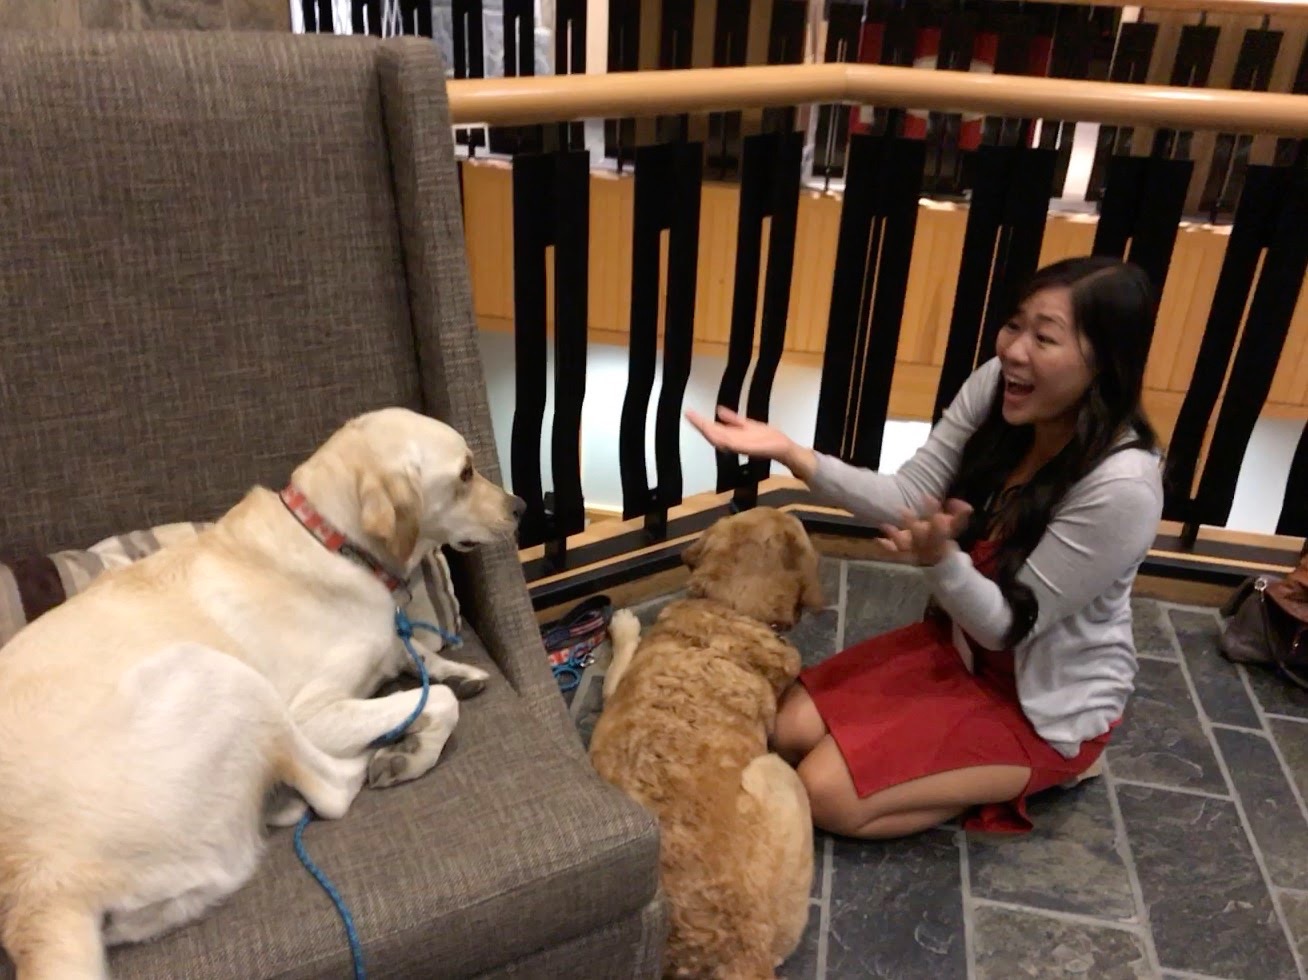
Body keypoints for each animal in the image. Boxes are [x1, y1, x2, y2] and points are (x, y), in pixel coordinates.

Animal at [0, 407, 523, 980]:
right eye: (466, 473)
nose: (520, 507)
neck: (331, 540)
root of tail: (41, 896)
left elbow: (411, 652)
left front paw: (454, 670)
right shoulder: (313, 710)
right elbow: (434, 702)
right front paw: (415, 744)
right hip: (222, 675)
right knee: (332, 790)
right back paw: (372, 756)